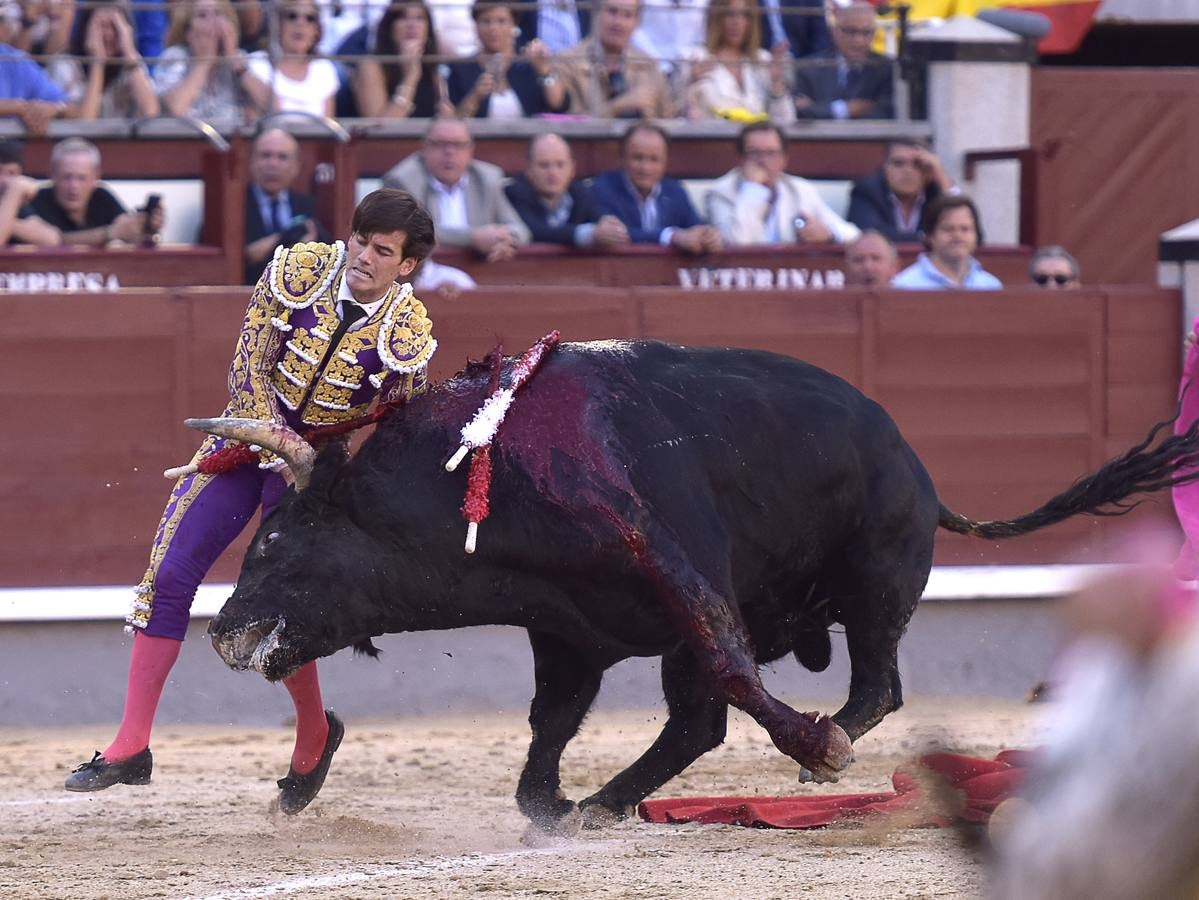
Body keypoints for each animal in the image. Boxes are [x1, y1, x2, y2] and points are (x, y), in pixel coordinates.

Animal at [203, 340, 1199, 829]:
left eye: (277, 539)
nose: (222, 631)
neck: (482, 471)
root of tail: (918, 467)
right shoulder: (566, 626)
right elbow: (551, 719)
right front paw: (550, 803)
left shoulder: (673, 567)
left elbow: (728, 667)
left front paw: (817, 749)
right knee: (699, 723)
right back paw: (606, 802)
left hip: (877, 579)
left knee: (872, 683)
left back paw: (823, 743)